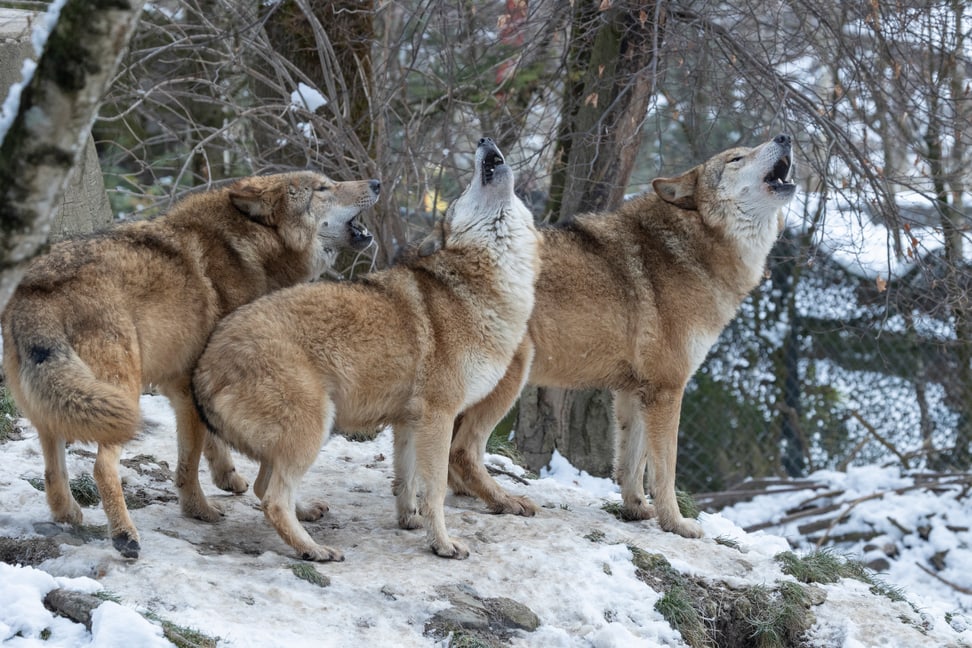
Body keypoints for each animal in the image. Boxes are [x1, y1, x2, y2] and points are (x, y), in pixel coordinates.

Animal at [1, 171, 382, 556]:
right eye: (323, 188)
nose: (377, 183)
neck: (249, 249)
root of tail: (39, 285)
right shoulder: (188, 386)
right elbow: (192, 461)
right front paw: (199, 509)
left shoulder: (196, 386)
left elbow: (216, 443)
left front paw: (231, 480)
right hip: (121, 397)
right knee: (102, 468)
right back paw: (125, 536)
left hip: (56, 404)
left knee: (53, 466)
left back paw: (67, 514)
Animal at [190, 138, 540, 560]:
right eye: (462, 195)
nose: (484, 140)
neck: (482, 286)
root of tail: (203, 367)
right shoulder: (438, 416)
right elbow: (436, 490)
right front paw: (442, 543)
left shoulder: (409, 422)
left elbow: (407, 483)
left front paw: (410, 522)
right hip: (316, 427)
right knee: (272, 499)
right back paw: (314, 550)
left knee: (263, 489)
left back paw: (307, 520)